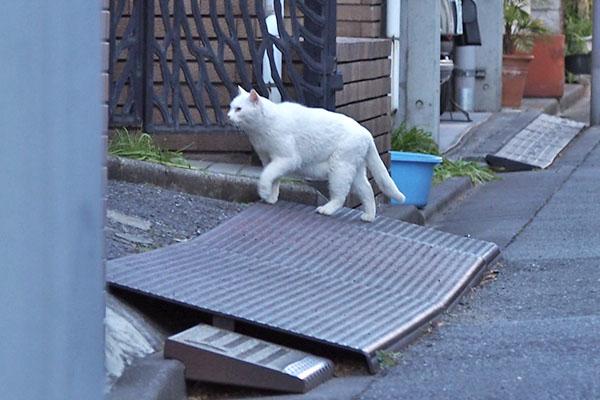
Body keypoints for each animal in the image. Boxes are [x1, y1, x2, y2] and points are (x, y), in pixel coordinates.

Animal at [227, 87, 406, 222]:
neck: (260, 130)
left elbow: (267, 176)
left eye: (239, 109)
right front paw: (271, 197)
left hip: (339, 169)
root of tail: (367, 134)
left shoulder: (286, 159)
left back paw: (326, 209)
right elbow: (273, 179)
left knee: (340, 196)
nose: (228, 116)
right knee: (367, 190)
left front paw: (264, 192)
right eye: (230, 107)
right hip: (354, 170)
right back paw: (369, 216)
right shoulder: (269, 160)